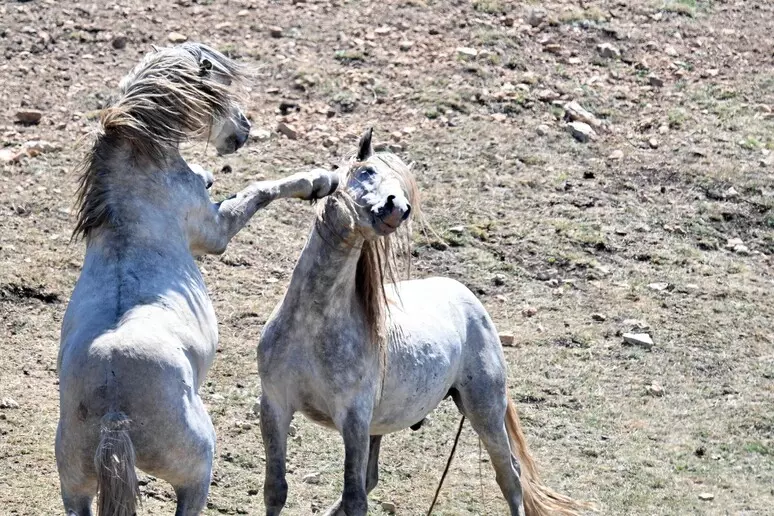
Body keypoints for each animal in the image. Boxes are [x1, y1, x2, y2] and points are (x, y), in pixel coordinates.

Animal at [56, 43, 339, 516]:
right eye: (220, 86)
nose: (244, 128)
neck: (131, 198)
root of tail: (113, 414)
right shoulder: (216, 232)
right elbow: (260, 190)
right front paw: (320, 180)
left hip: (75, 492)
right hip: (196, 473)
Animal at [256, 129, 589, 516]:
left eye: (402, 187)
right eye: (367, 171)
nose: (397, 209)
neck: (313, 325)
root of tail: (469, 299)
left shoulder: (353, 420)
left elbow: (355, 499)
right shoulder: (276, 405)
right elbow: (276, 489)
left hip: (484, 410)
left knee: (510, 476)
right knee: (372, 479)